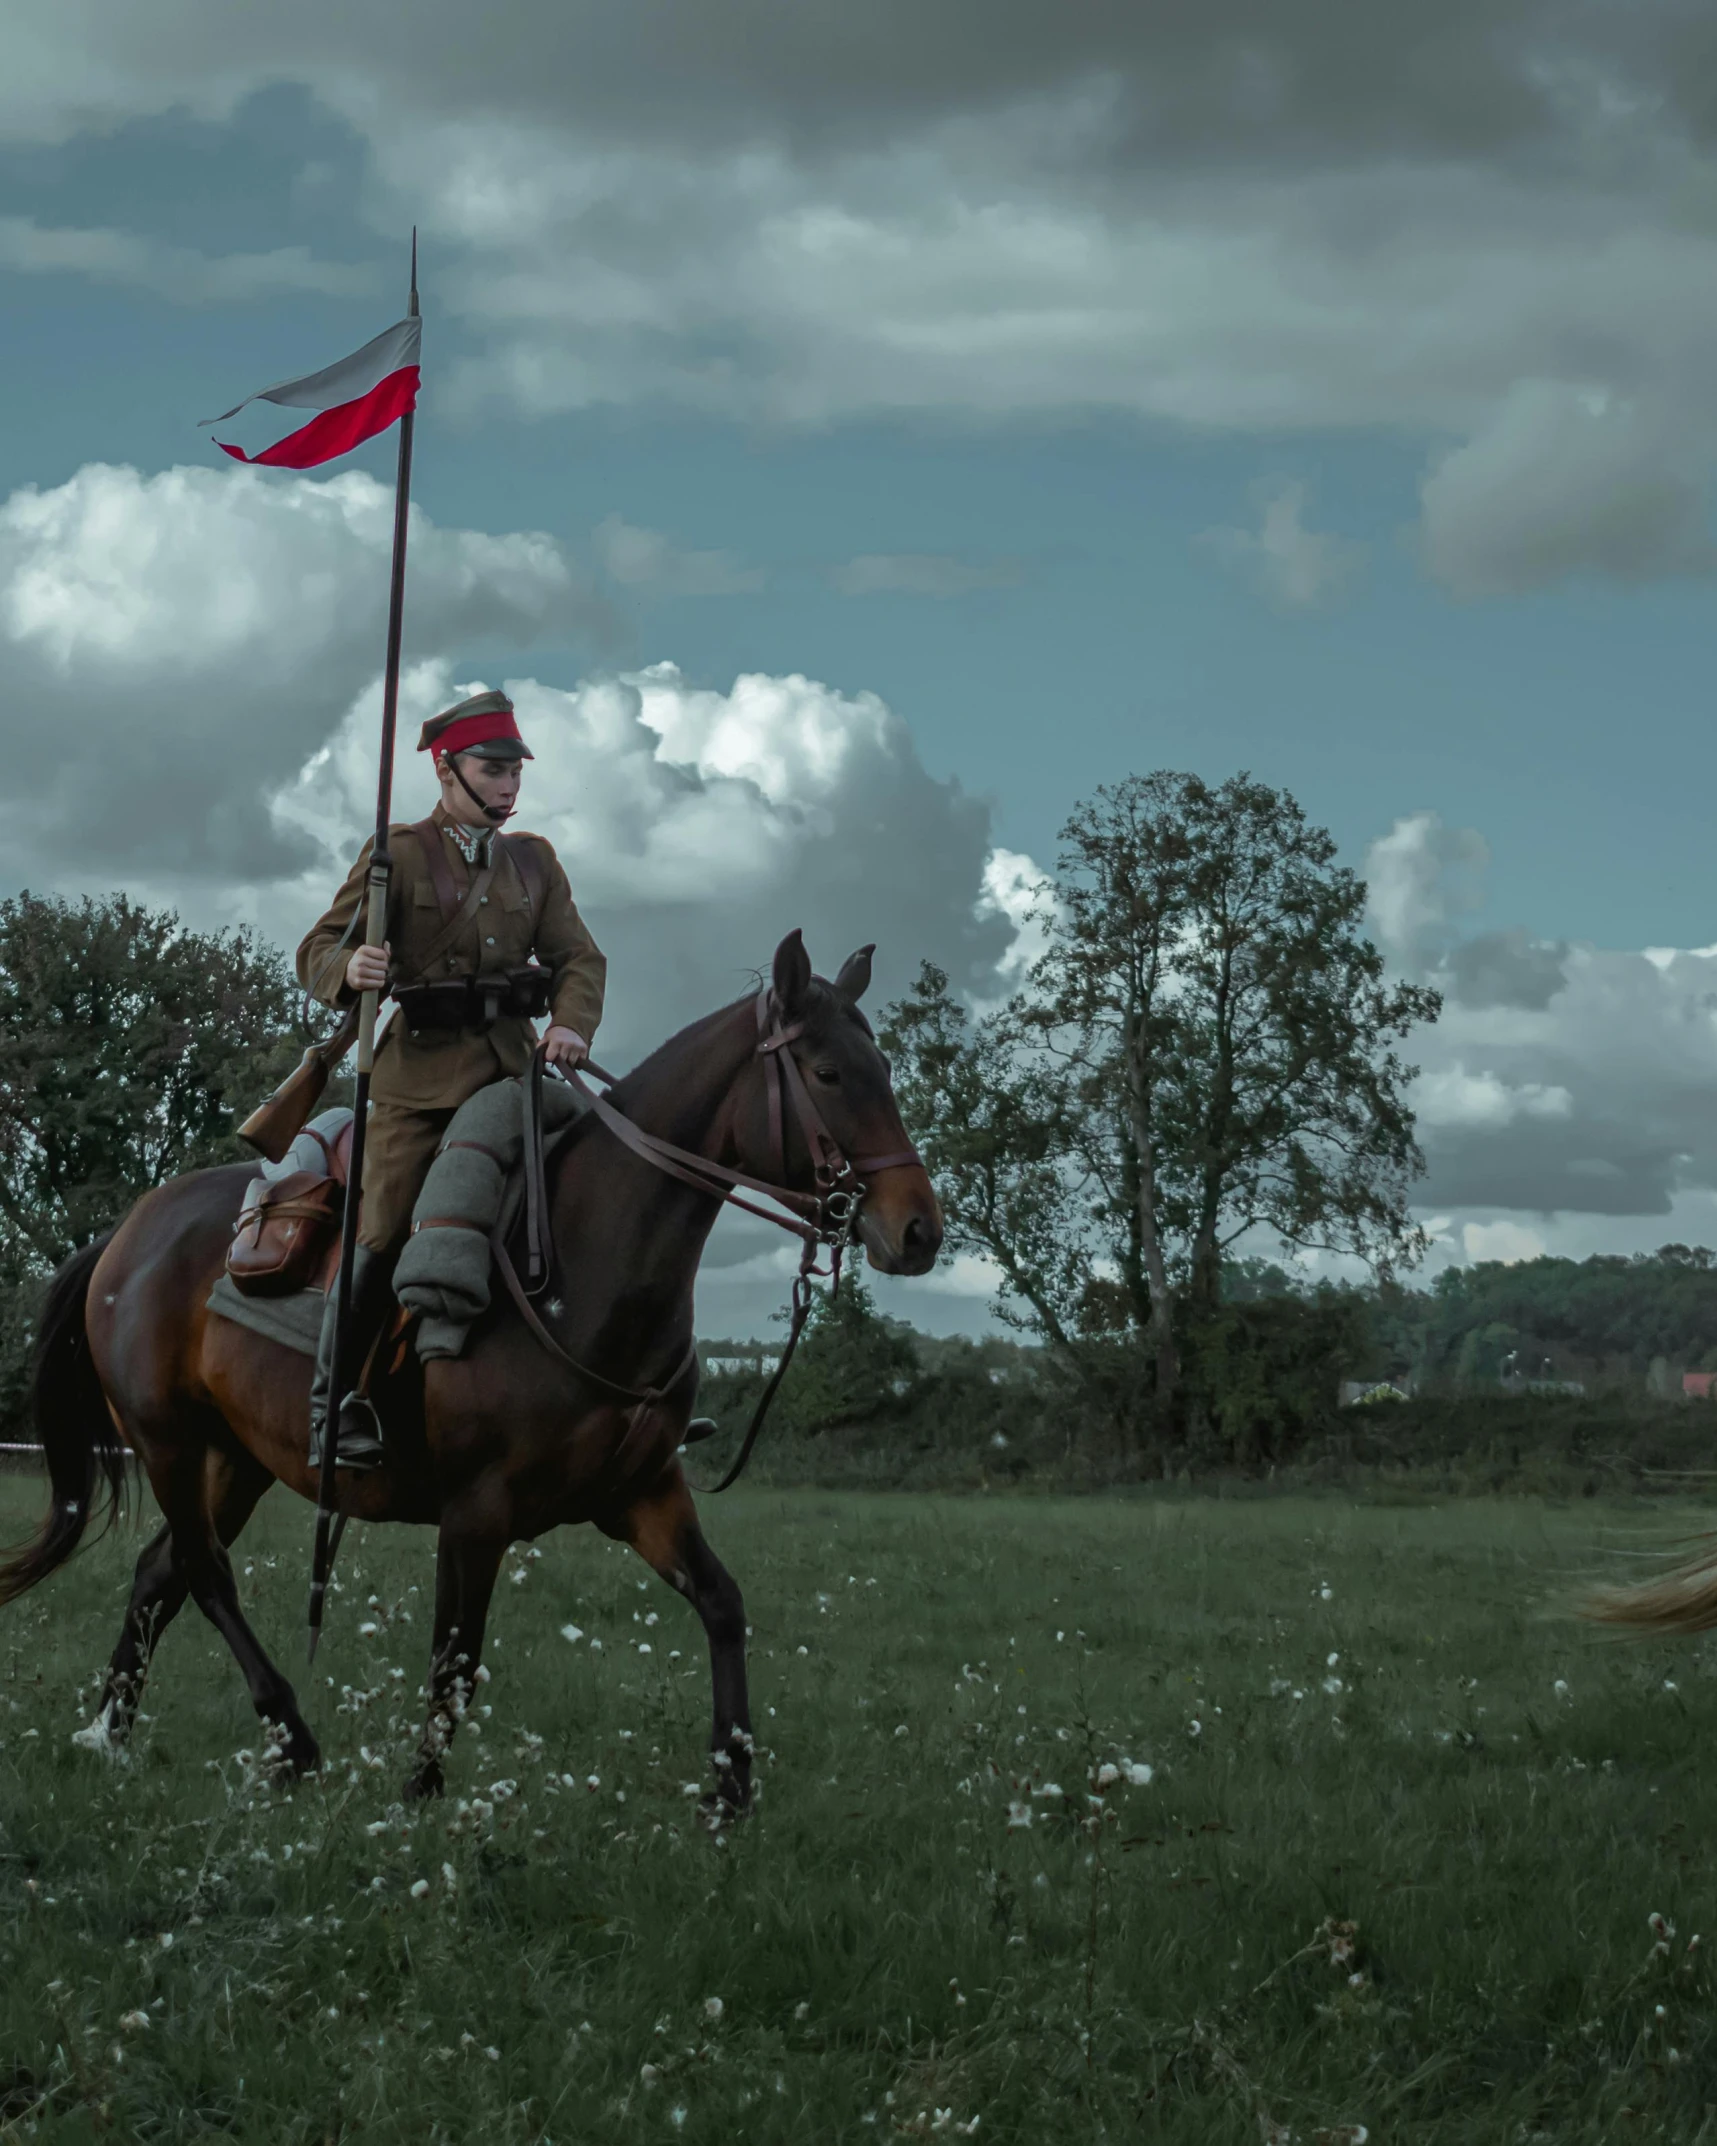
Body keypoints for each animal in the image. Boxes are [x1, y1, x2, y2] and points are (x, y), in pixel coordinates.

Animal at [0, 927, 940, 1811]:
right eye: (827, 1072)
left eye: (884, 1069)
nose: (918, 1230)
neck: (583, 1262)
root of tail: (126, 1235)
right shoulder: (476, 1514)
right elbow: (455, 1661)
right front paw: (418, 1799)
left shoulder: (641, 1494)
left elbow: (722, 1604)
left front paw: (730, 1787)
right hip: (168, 1443)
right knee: (202, 1574)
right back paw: (288, 1737)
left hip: (236, 1460)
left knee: (162, 1572)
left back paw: (111, 1733)